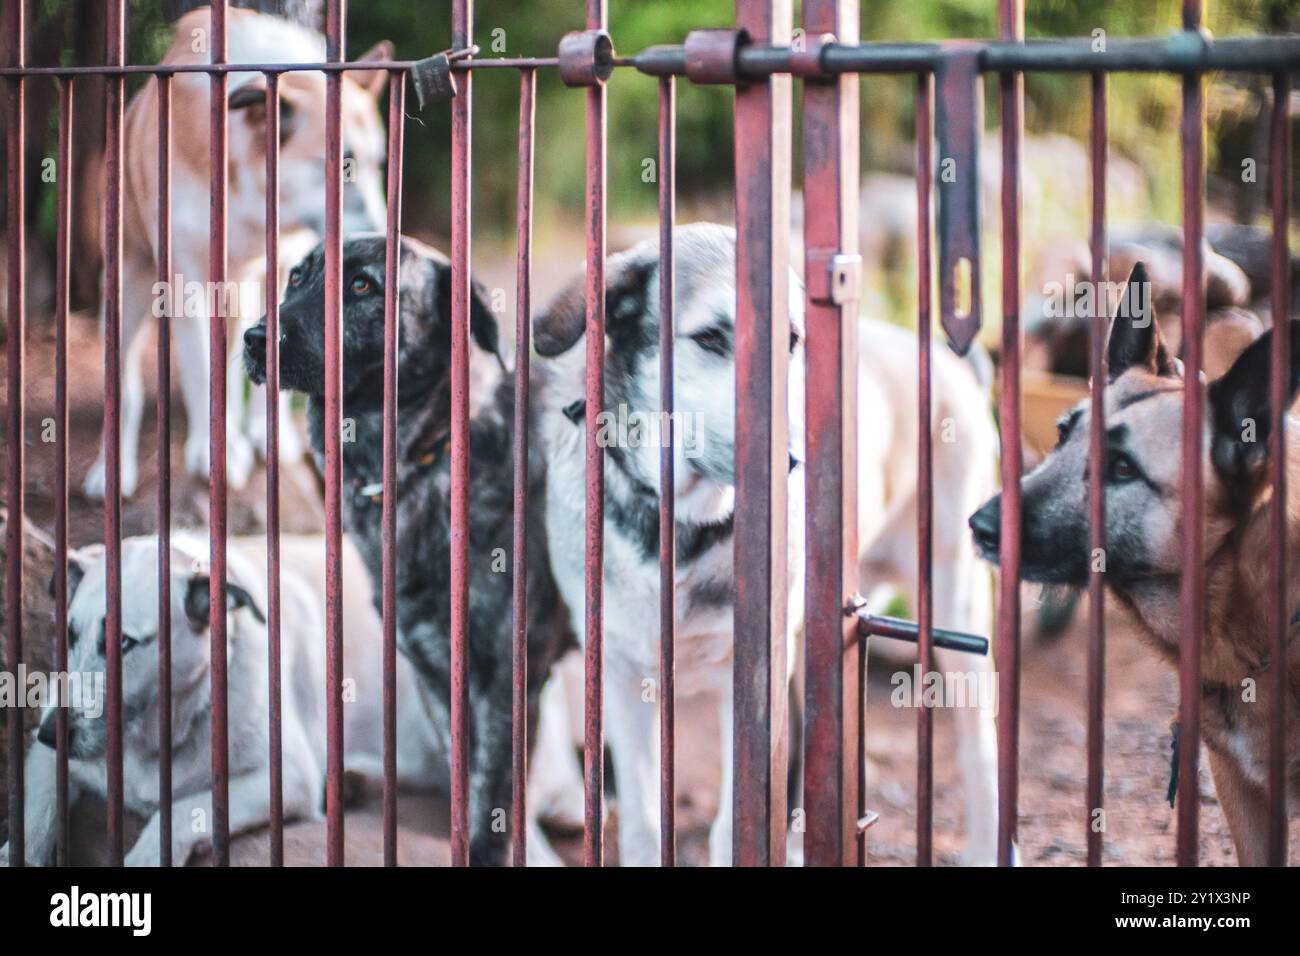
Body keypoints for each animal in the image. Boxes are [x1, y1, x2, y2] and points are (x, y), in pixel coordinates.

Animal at [0, 530, 579, 868]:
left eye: (123, 642)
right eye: (70, 633)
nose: (48, 733)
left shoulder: (283, 779)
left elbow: (183, 809)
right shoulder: (44, 762)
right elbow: (34, 818)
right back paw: (350, 780)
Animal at [244, 234, 569, 868]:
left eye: (363, 285)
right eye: (296, 277)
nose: (254, 339)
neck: (417, 464)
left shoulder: (504, 679)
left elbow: (491, 812)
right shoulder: (438, 677)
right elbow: (467, 790)